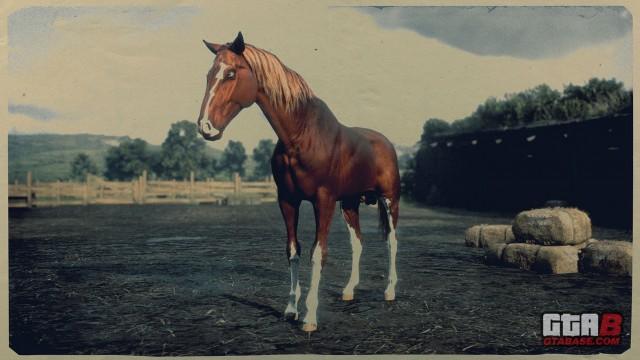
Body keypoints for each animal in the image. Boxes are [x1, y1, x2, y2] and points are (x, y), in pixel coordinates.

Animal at [196, 33, 400, 332]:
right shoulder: (288, 201)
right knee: (358, 243)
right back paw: (349, 290)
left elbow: (318, 253)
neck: (300, 136)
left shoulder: (323, 201)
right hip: (350, 204)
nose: (205, 127)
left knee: (391, 241)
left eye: (231, 73)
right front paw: (291, 309)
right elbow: (293, 251)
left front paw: (310, 317)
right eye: (209, 74)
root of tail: (386, 143)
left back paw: (390, 291)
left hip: (389, 200)